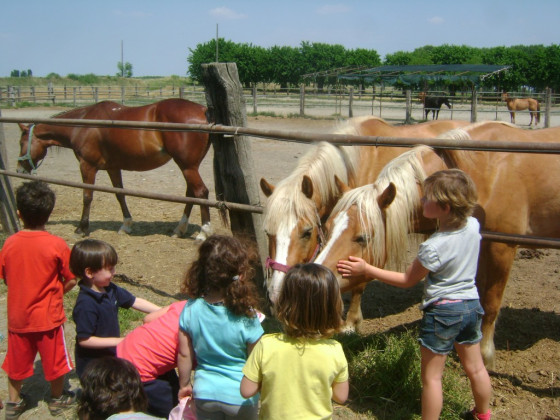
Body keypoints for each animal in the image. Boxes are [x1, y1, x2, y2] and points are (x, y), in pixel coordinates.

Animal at [15, 99, 212, 241]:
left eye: (21, 142)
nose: (19, 170)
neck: (82, 124)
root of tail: (202, 109)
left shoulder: (87, 166)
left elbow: (87, 196)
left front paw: (81, 228)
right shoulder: (113, 167)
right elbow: (119, 194)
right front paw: (126, 225)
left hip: (187, 166)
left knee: (201, 192)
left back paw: (204, 232)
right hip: (188, 166)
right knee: (191, 193)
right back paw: (179, 229)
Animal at [260, 116, 470, 330]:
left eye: (307, 232)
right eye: (268, 233)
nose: (276, 295)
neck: (353, 165)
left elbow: (358, 281)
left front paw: (351, 322)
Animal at [316, 121, 560, 368]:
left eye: (363, 237)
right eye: (326, 228)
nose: (319, 281)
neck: (484, 173)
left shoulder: (502, 248)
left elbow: (491, 303)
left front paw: (485, 355)